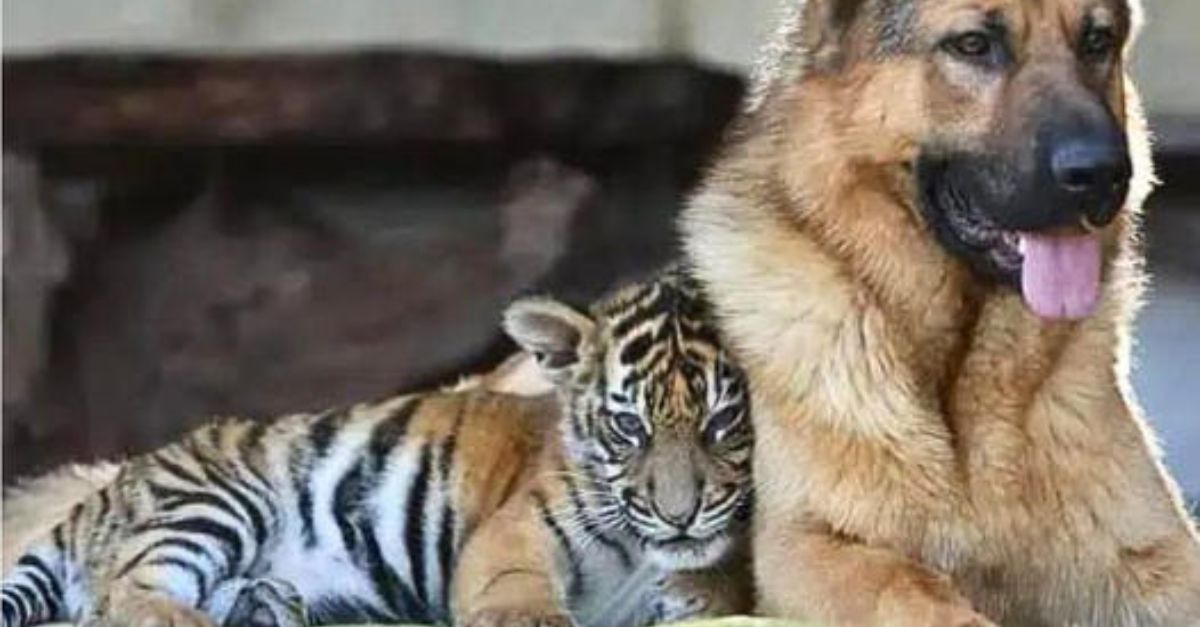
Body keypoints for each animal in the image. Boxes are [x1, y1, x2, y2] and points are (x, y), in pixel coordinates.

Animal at [686, 0, 1200, 619]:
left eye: (1096, 41)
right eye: (973, 45)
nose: (1104, 176)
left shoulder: (1158, 553)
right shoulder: (802, 547)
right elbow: (910, 588)